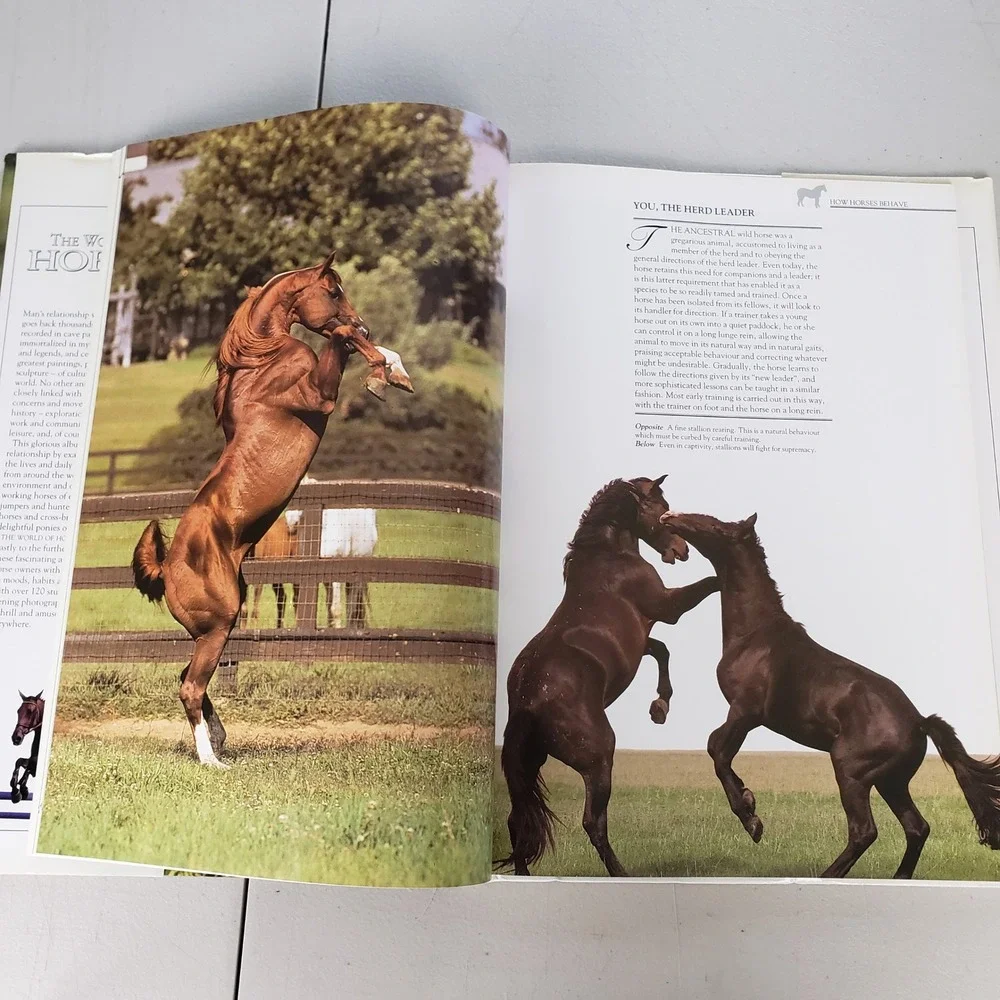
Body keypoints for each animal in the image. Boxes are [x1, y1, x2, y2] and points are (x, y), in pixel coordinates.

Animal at [131, 252, 413, 768]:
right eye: (334, 292)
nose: (364, 317)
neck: (263, 361)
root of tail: (166, 567)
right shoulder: (319, 393)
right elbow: (343, 340)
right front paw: (381, 372)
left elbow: (355, 343)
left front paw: (394, 372)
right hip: (219, 626)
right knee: (190, 686)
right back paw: (211, 760)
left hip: (213, 629)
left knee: (190, 681)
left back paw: (221, 738)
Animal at [498, 476, 720, 876]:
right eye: (662, 509)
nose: (682, 550)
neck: (608, 558)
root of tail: (528, 701)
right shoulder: (668, 607)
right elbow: (710, 585)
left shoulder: (643, 640)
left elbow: (662, 651)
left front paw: (659, 708)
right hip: (599, 758)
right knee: (592, 822)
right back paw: (621, 873)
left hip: (530, 763)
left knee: (517, 820)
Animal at [659, 509, 1000, 878]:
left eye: (715, 526)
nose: (670, 517)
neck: (755, 635)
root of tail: (919, 722)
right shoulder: (743, 716)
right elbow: (718, 750)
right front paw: (749, 804)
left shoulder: (745, 712)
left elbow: (717, 749)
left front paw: (752, 819)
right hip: (891, 782)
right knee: (916, 827)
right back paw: (897, 878)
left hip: (852, 773)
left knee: (865, 831)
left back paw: (827, 876)